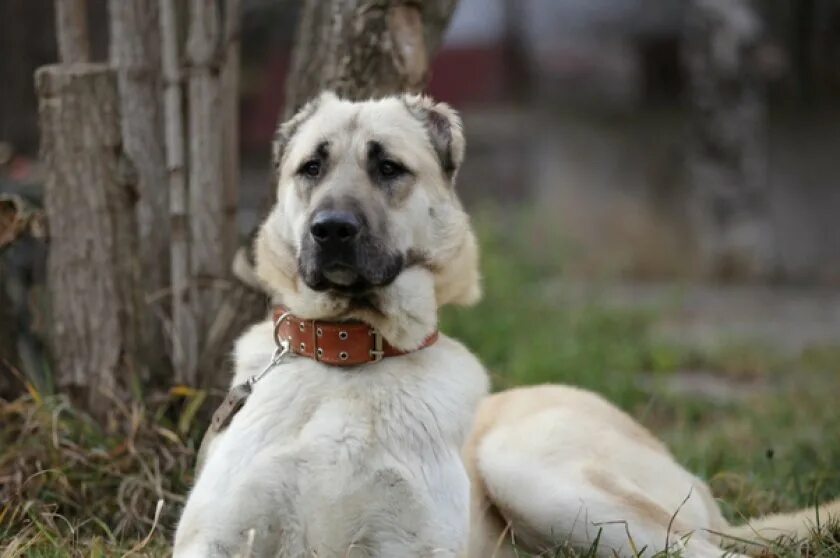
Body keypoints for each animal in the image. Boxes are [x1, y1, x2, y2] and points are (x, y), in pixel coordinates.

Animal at [174, 94, 836, 556]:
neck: (351, 355)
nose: (331, 229)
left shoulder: (417, 545)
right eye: (311, 166)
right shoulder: (214, 539)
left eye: (388, 168)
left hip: (526, 466)